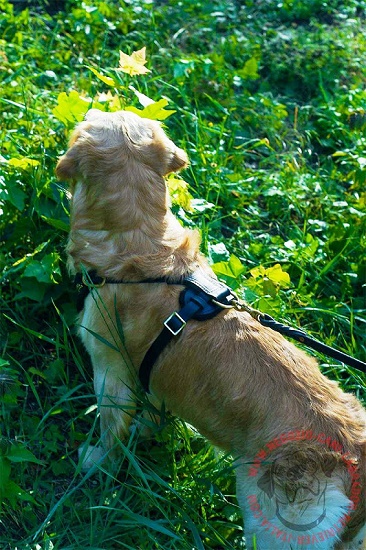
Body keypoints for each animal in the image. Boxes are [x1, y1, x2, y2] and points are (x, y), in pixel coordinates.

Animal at [55, 109, 364, 550]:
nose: (93, 108)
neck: (142, 246)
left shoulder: (111, 369)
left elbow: (112, 429)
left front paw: (96, 462)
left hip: (274, 527)